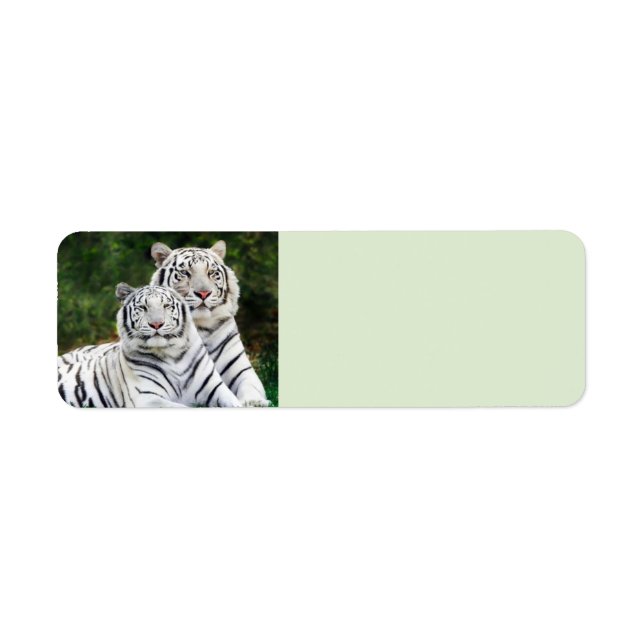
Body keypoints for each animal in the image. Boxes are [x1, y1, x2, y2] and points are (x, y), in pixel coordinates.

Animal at [57, 284, 242, 408]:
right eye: (143, 307)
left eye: (166, 306)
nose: (156, 324)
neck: (172, 355)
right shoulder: (146, 398)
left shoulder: (215, 388)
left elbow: (235, 403)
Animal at [150, 240, 269, 406]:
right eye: (185, 273)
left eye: (211, 272)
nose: (204, 293)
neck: (200, 326)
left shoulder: (242, 370)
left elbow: (250, 387)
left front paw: (254, 402)